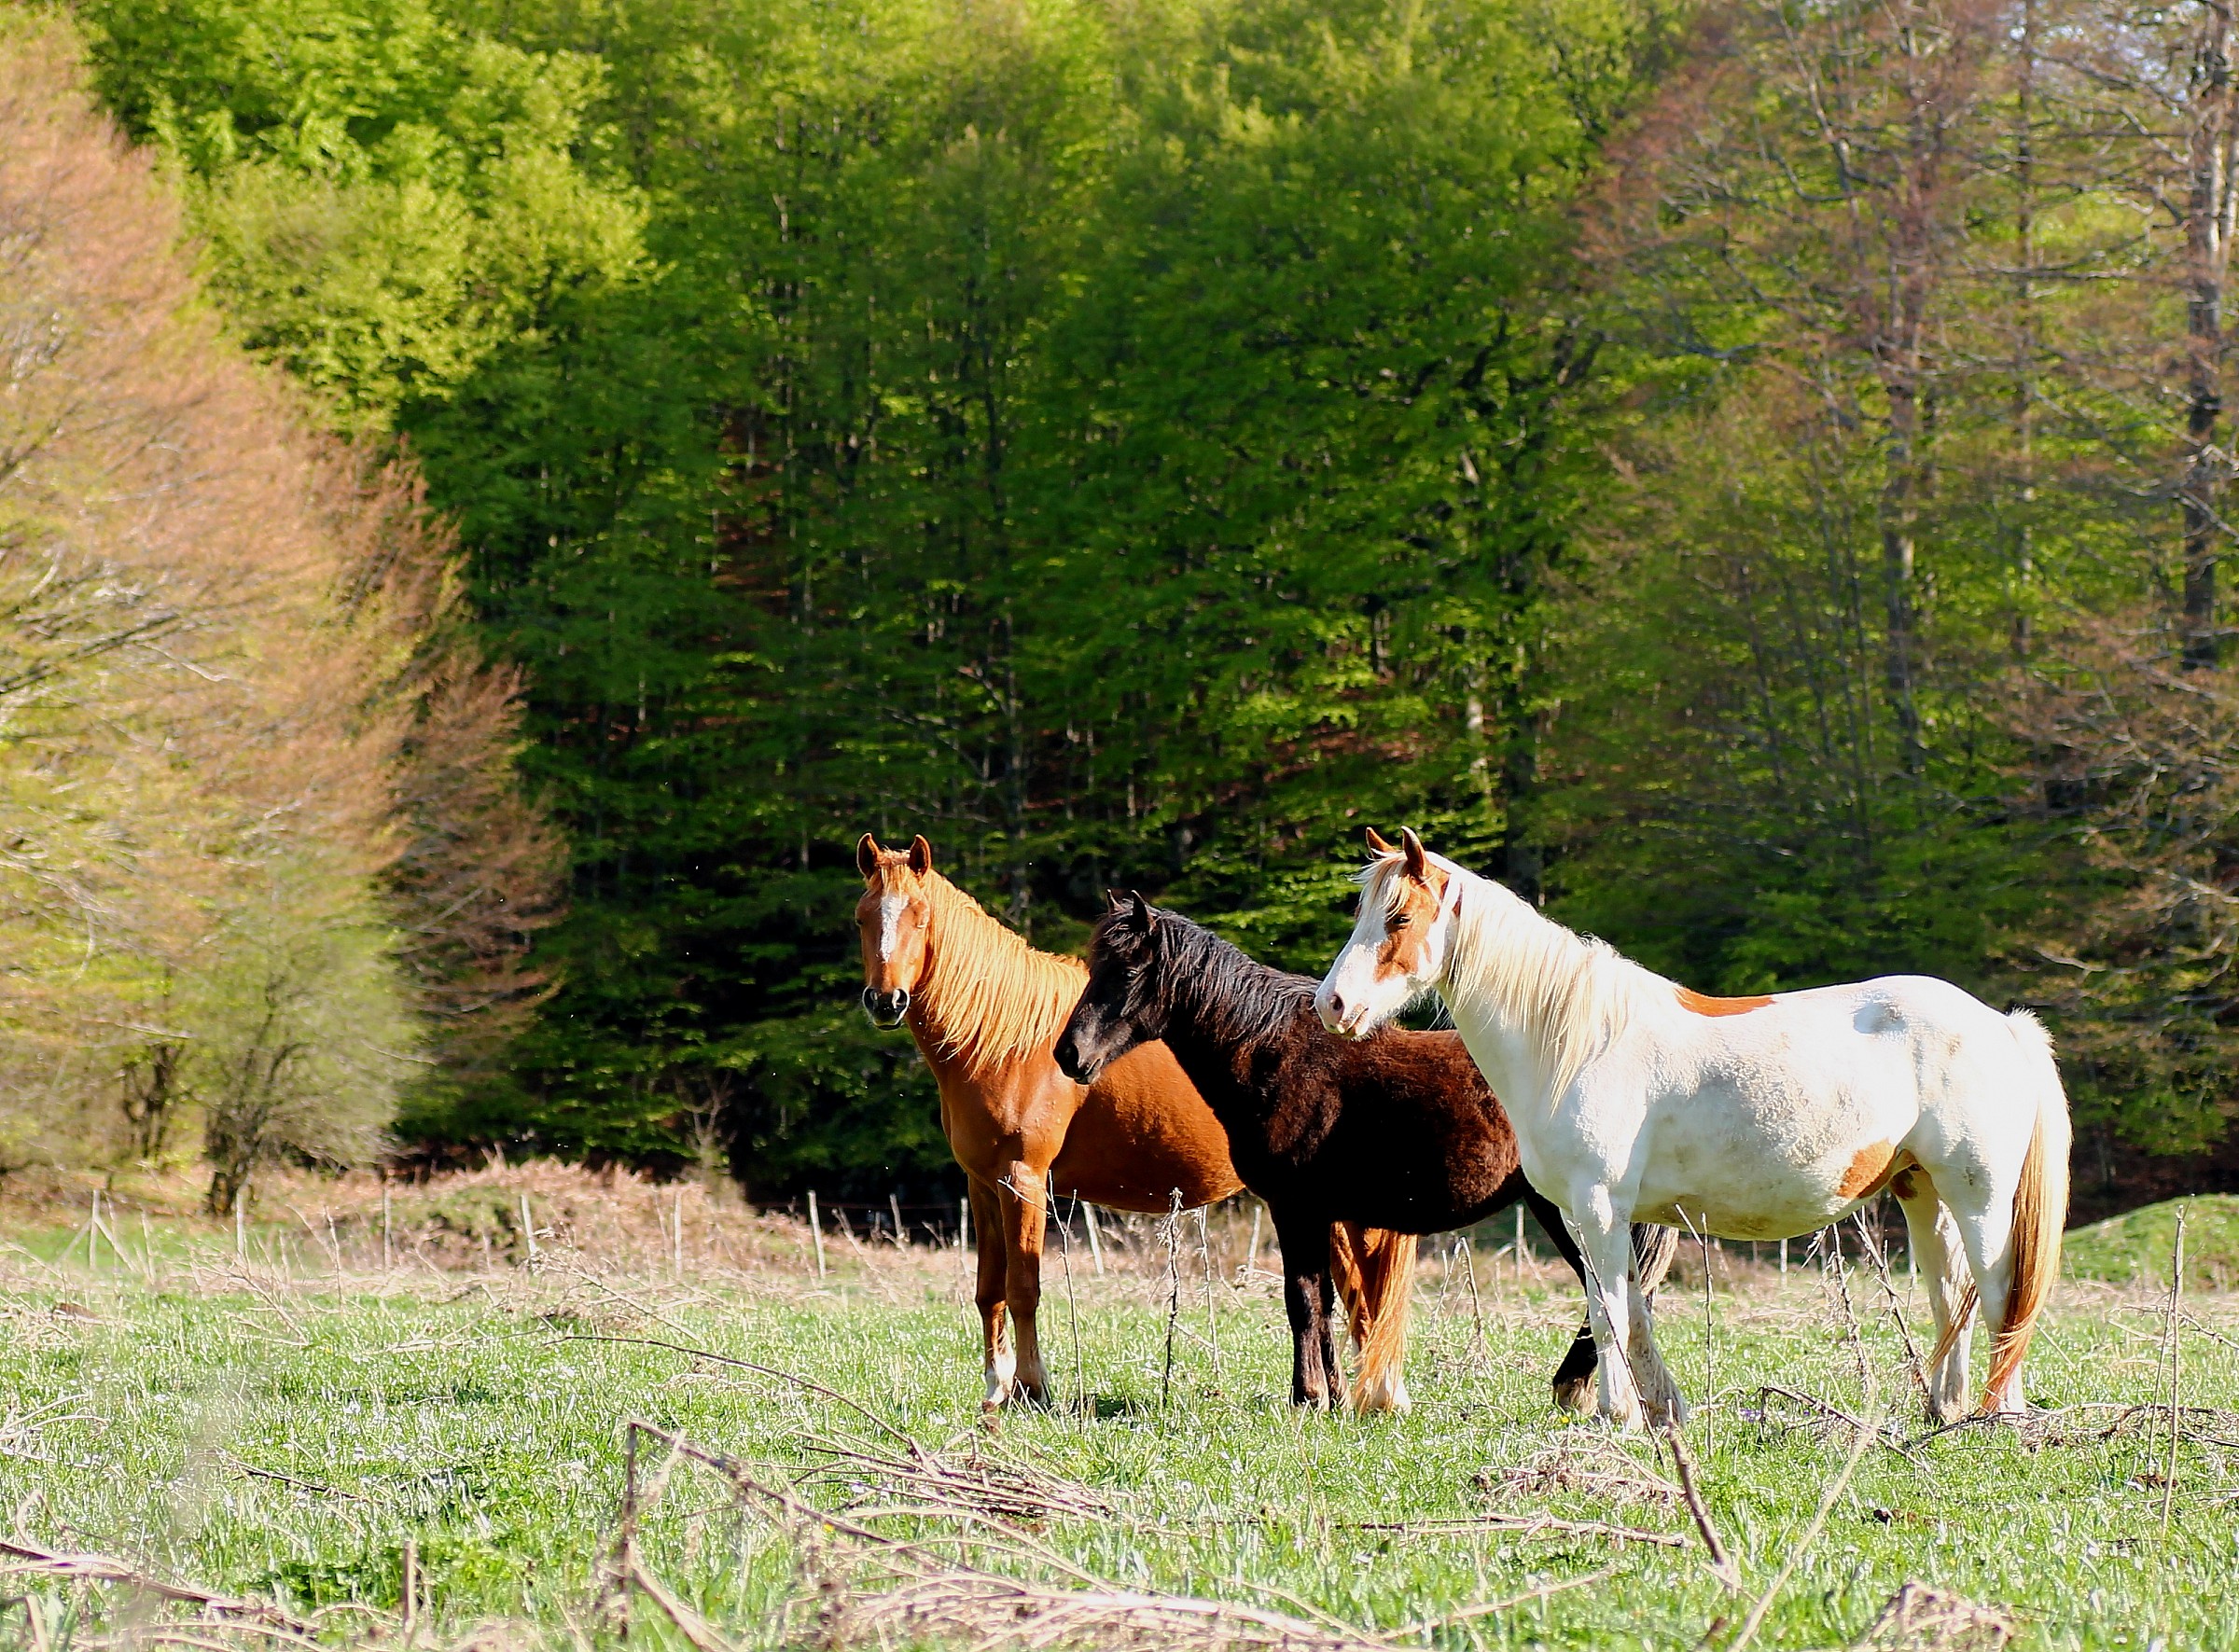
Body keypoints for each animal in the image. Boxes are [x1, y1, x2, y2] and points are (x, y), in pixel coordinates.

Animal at [855, 833, 1419, 1408]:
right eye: (862, 918)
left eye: (920, 917)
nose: (885, 1001)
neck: (1007, 1041)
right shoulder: (984, 1185)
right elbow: (989, 1290)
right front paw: (996, 1389)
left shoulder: (1023, 1181)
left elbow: (1023, 1288)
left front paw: (1033, 1390)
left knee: (1366, 1298)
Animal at [1052, 891, 1676, 1411]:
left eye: (1129, 969)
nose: (1069, 1054)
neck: (1274, 1055)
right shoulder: (1317, 1213)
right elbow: (1322, 1303)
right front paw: (1332, 1396)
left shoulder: (1295, 1208)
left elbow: (1301, 1301)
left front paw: (1307, 1398)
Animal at [1315, 827, 2071, 1429]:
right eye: (1360, 912)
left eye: (1400, 916)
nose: (1334, 1004)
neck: (1577, 1042)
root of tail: (2000, 1024)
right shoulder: (1590, 1216)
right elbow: (1630, 1310)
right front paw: (1657, 1410)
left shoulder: (1597, 1206)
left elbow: (1610, 1312)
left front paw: (1616, 1416)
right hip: (1922, 1191)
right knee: (1952, 1296)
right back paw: (1945, 1411)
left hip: (1978, 1197)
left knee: (1999, 1294)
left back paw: (1999, 1414)